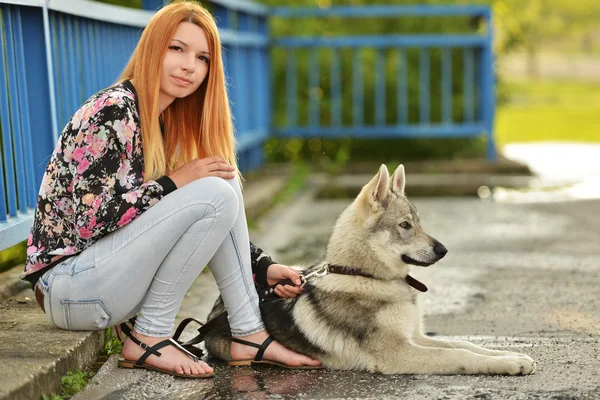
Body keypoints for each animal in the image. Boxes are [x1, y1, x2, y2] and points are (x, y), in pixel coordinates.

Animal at [206, 163, 536, 376]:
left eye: (419, 223)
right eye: (405, 225)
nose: (443, 250)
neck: (365, 276)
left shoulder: (416, 337)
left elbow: (467, 344)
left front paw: (514, 357)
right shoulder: (398, 353)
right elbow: (459, 354)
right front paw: (507, 365)